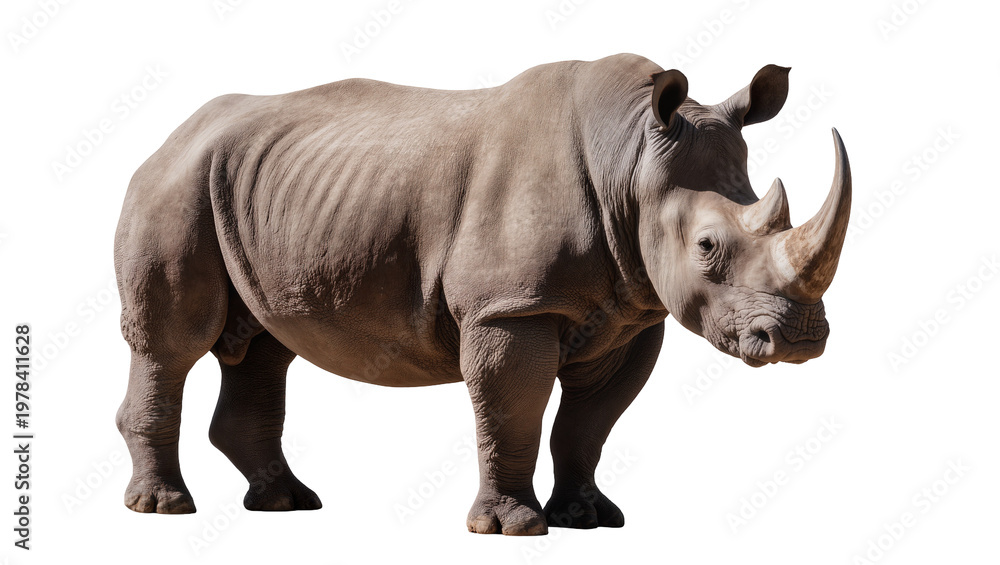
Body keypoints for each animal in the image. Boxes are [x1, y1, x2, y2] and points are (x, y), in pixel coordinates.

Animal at [114, 53, 851, 535]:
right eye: (706, 247)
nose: (801, 339)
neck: (630, 157)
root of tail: (170, 135)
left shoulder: (630, 312)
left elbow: (591, 421)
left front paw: (589, 518)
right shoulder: (512, 305)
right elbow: (512, 407)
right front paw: (512, 528)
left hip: (256, 191)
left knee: (265, 344)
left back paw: (288, 504)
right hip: (175, 186)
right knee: (173, 344)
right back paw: (165, 509)